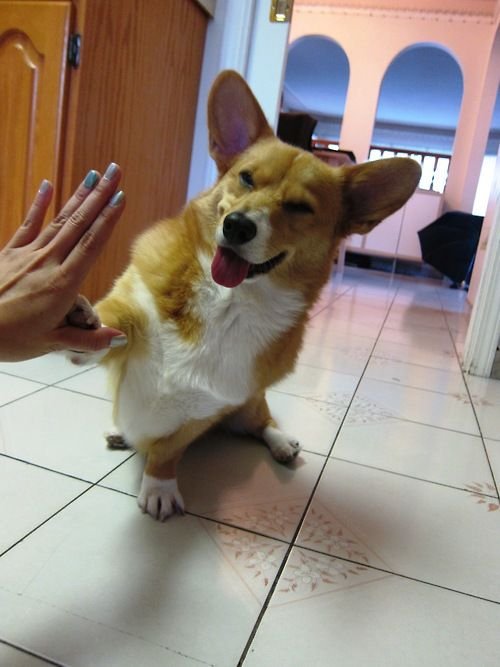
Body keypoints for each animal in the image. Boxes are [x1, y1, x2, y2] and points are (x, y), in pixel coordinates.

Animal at [72, 72, 420, 520]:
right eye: (247, 178)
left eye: (299, 207)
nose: (237, 226)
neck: (227, 300)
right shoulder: (133, 309)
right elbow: (112, 323)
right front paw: (80, 322)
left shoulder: (204, 410)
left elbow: (167, 451)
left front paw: (160, 486)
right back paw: (121, 431)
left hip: (249, 406)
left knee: (262, 422)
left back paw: (283, 443)